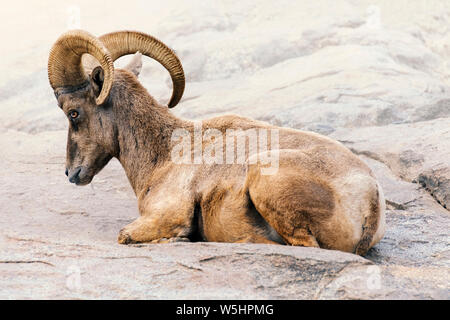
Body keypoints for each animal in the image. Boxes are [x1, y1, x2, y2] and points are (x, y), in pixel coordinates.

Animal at [49, 30, 386, 255]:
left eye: (73, 112)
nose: (71, 173)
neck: (164, 154)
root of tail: (369, 201)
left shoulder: (163, 214)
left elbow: (126, 235)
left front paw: (178, 238)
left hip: (266, 179)